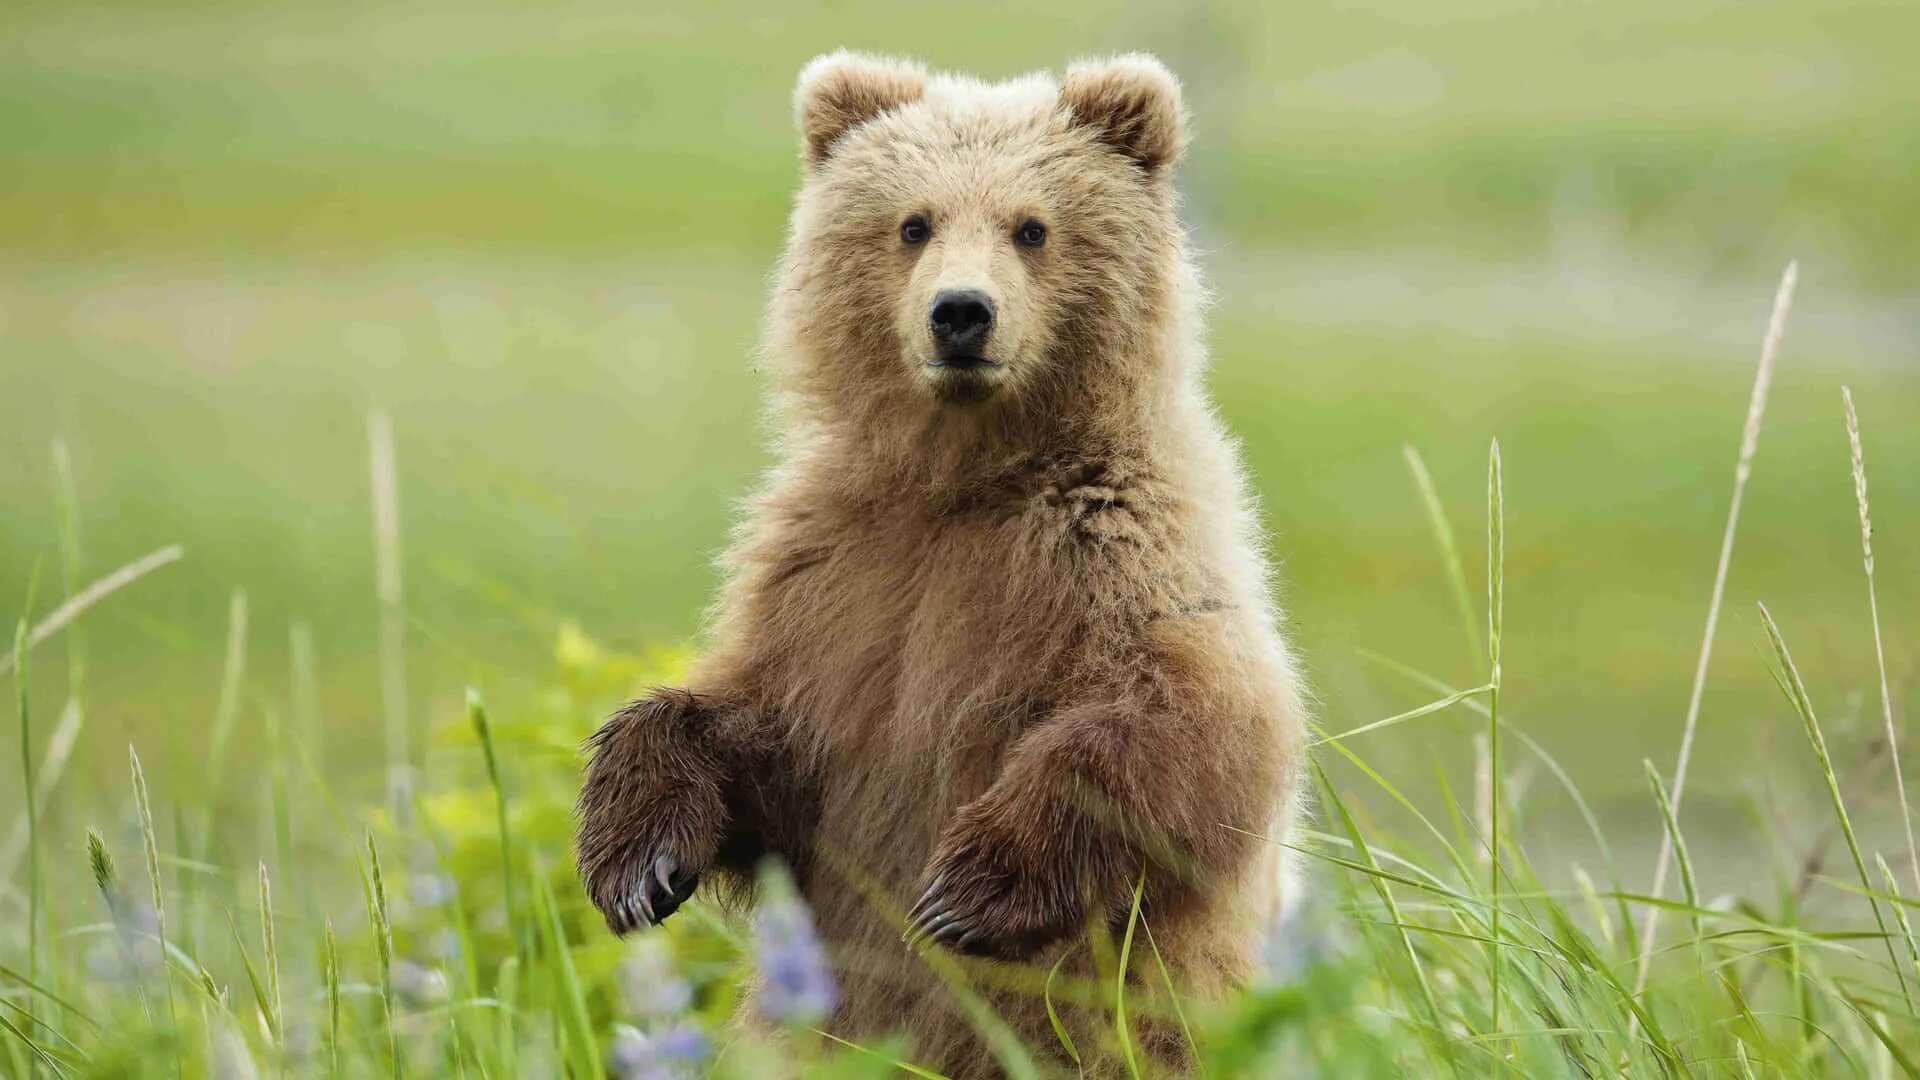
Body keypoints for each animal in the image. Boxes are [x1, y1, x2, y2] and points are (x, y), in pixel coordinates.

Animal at [576, 52, 1305, 1078]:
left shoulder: (1117, 551)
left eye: (1031, 226)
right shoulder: (837, 580)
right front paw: (634, 863)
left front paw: (964, 890)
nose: (961, 313)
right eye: (913, 222)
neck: (963, 476)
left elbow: (1188, 721)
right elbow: (755, 737)